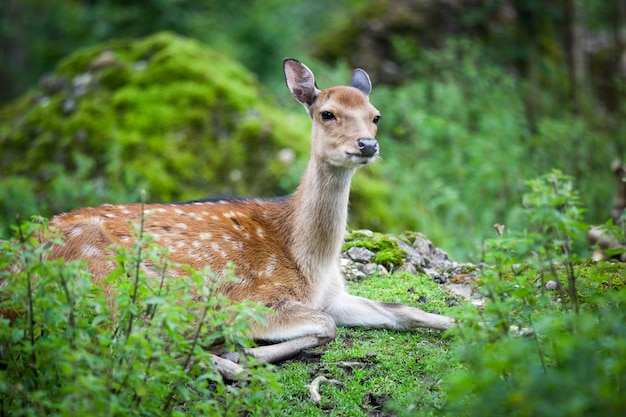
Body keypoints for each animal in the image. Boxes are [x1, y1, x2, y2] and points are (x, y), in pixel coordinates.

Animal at [46, 59, 450, 376]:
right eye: (327, 113)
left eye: (375, 115)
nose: (367, 144)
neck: (312, 262)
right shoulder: (254, 298)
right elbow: (327, 324)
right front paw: (242, 351)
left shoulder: (335, 295)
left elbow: (402, 310)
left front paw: (458, 325)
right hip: (121, 286)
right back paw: (220, 358)